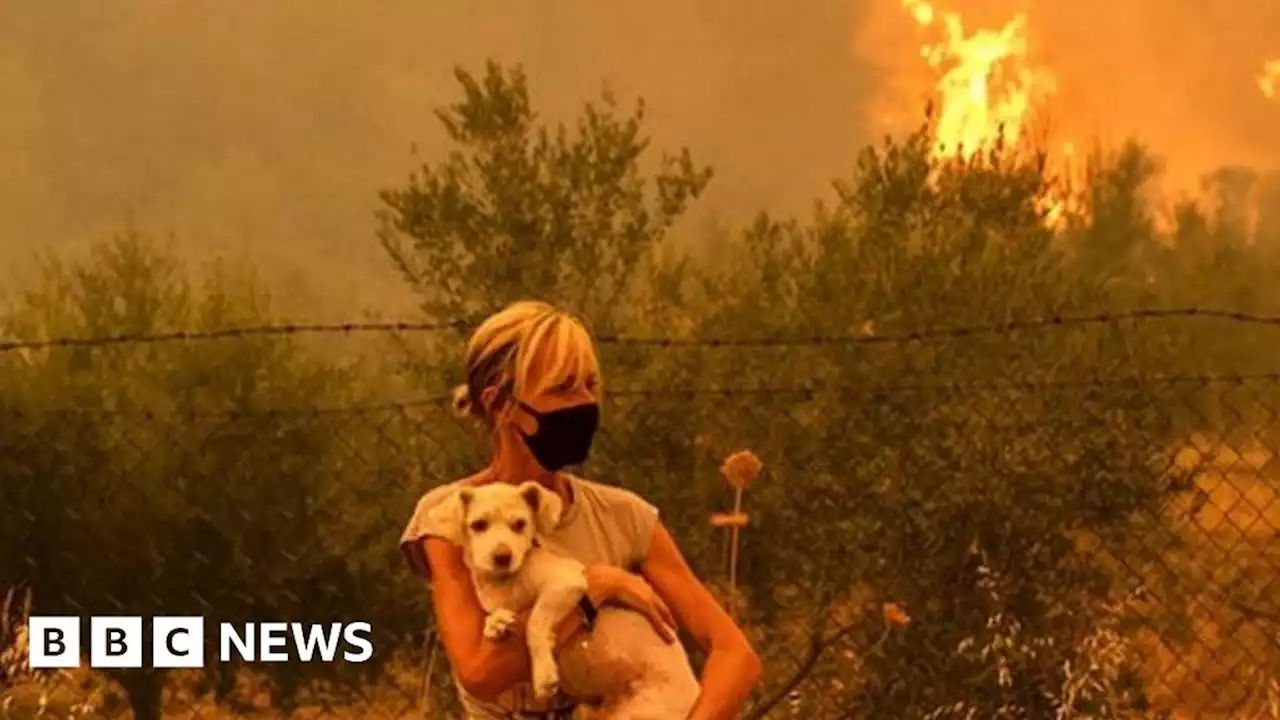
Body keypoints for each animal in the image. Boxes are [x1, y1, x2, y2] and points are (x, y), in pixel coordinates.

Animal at [430, 479, 696, 712]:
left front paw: (543, 675)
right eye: (478, 525)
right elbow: (498, 617)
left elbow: (535, 622)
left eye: (520, 523)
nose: (502, 557)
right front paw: (496, 623)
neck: (505, 583)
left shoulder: (565, 583)